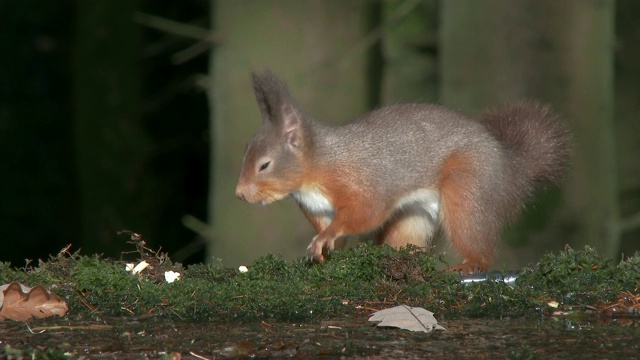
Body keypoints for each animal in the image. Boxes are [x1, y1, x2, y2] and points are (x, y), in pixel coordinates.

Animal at [235, 69, 568, 272]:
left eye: (264, 164)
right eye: (246, 151)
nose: (239, 194)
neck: (317, 168)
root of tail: (509, 168)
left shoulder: (362, 181)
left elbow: (364, 212)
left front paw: (324, 239)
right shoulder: (317, 209)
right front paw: (324, 250)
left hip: (468, 186)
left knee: (476, 240)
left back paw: (469, 263)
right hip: (412, 220)